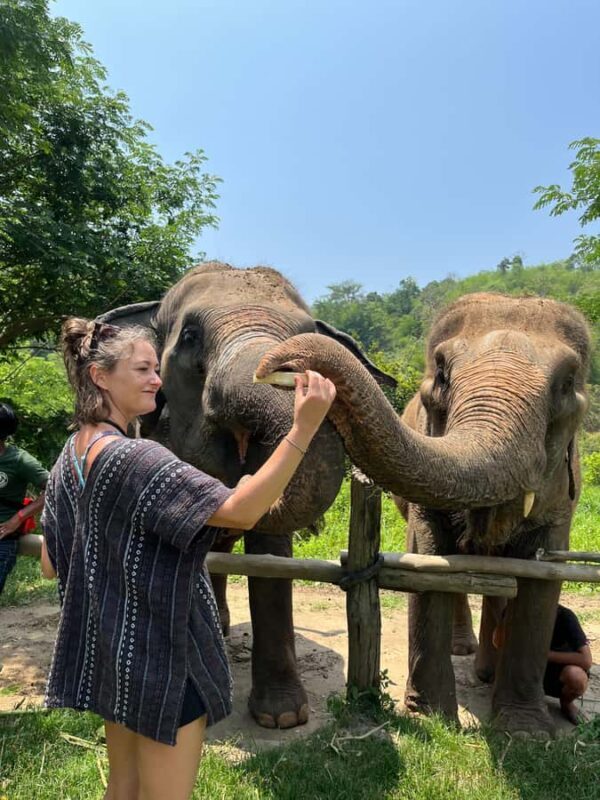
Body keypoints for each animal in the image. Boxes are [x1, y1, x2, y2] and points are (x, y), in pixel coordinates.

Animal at [254, 292, 590, 734]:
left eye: (568, 382)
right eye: (442, 372)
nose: (273, 367)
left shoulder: (562, 500)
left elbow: (542, 578)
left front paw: (526, 733)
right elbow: (431, 560)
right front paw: (431, 717)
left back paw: (485, 673)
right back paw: (466, 652)